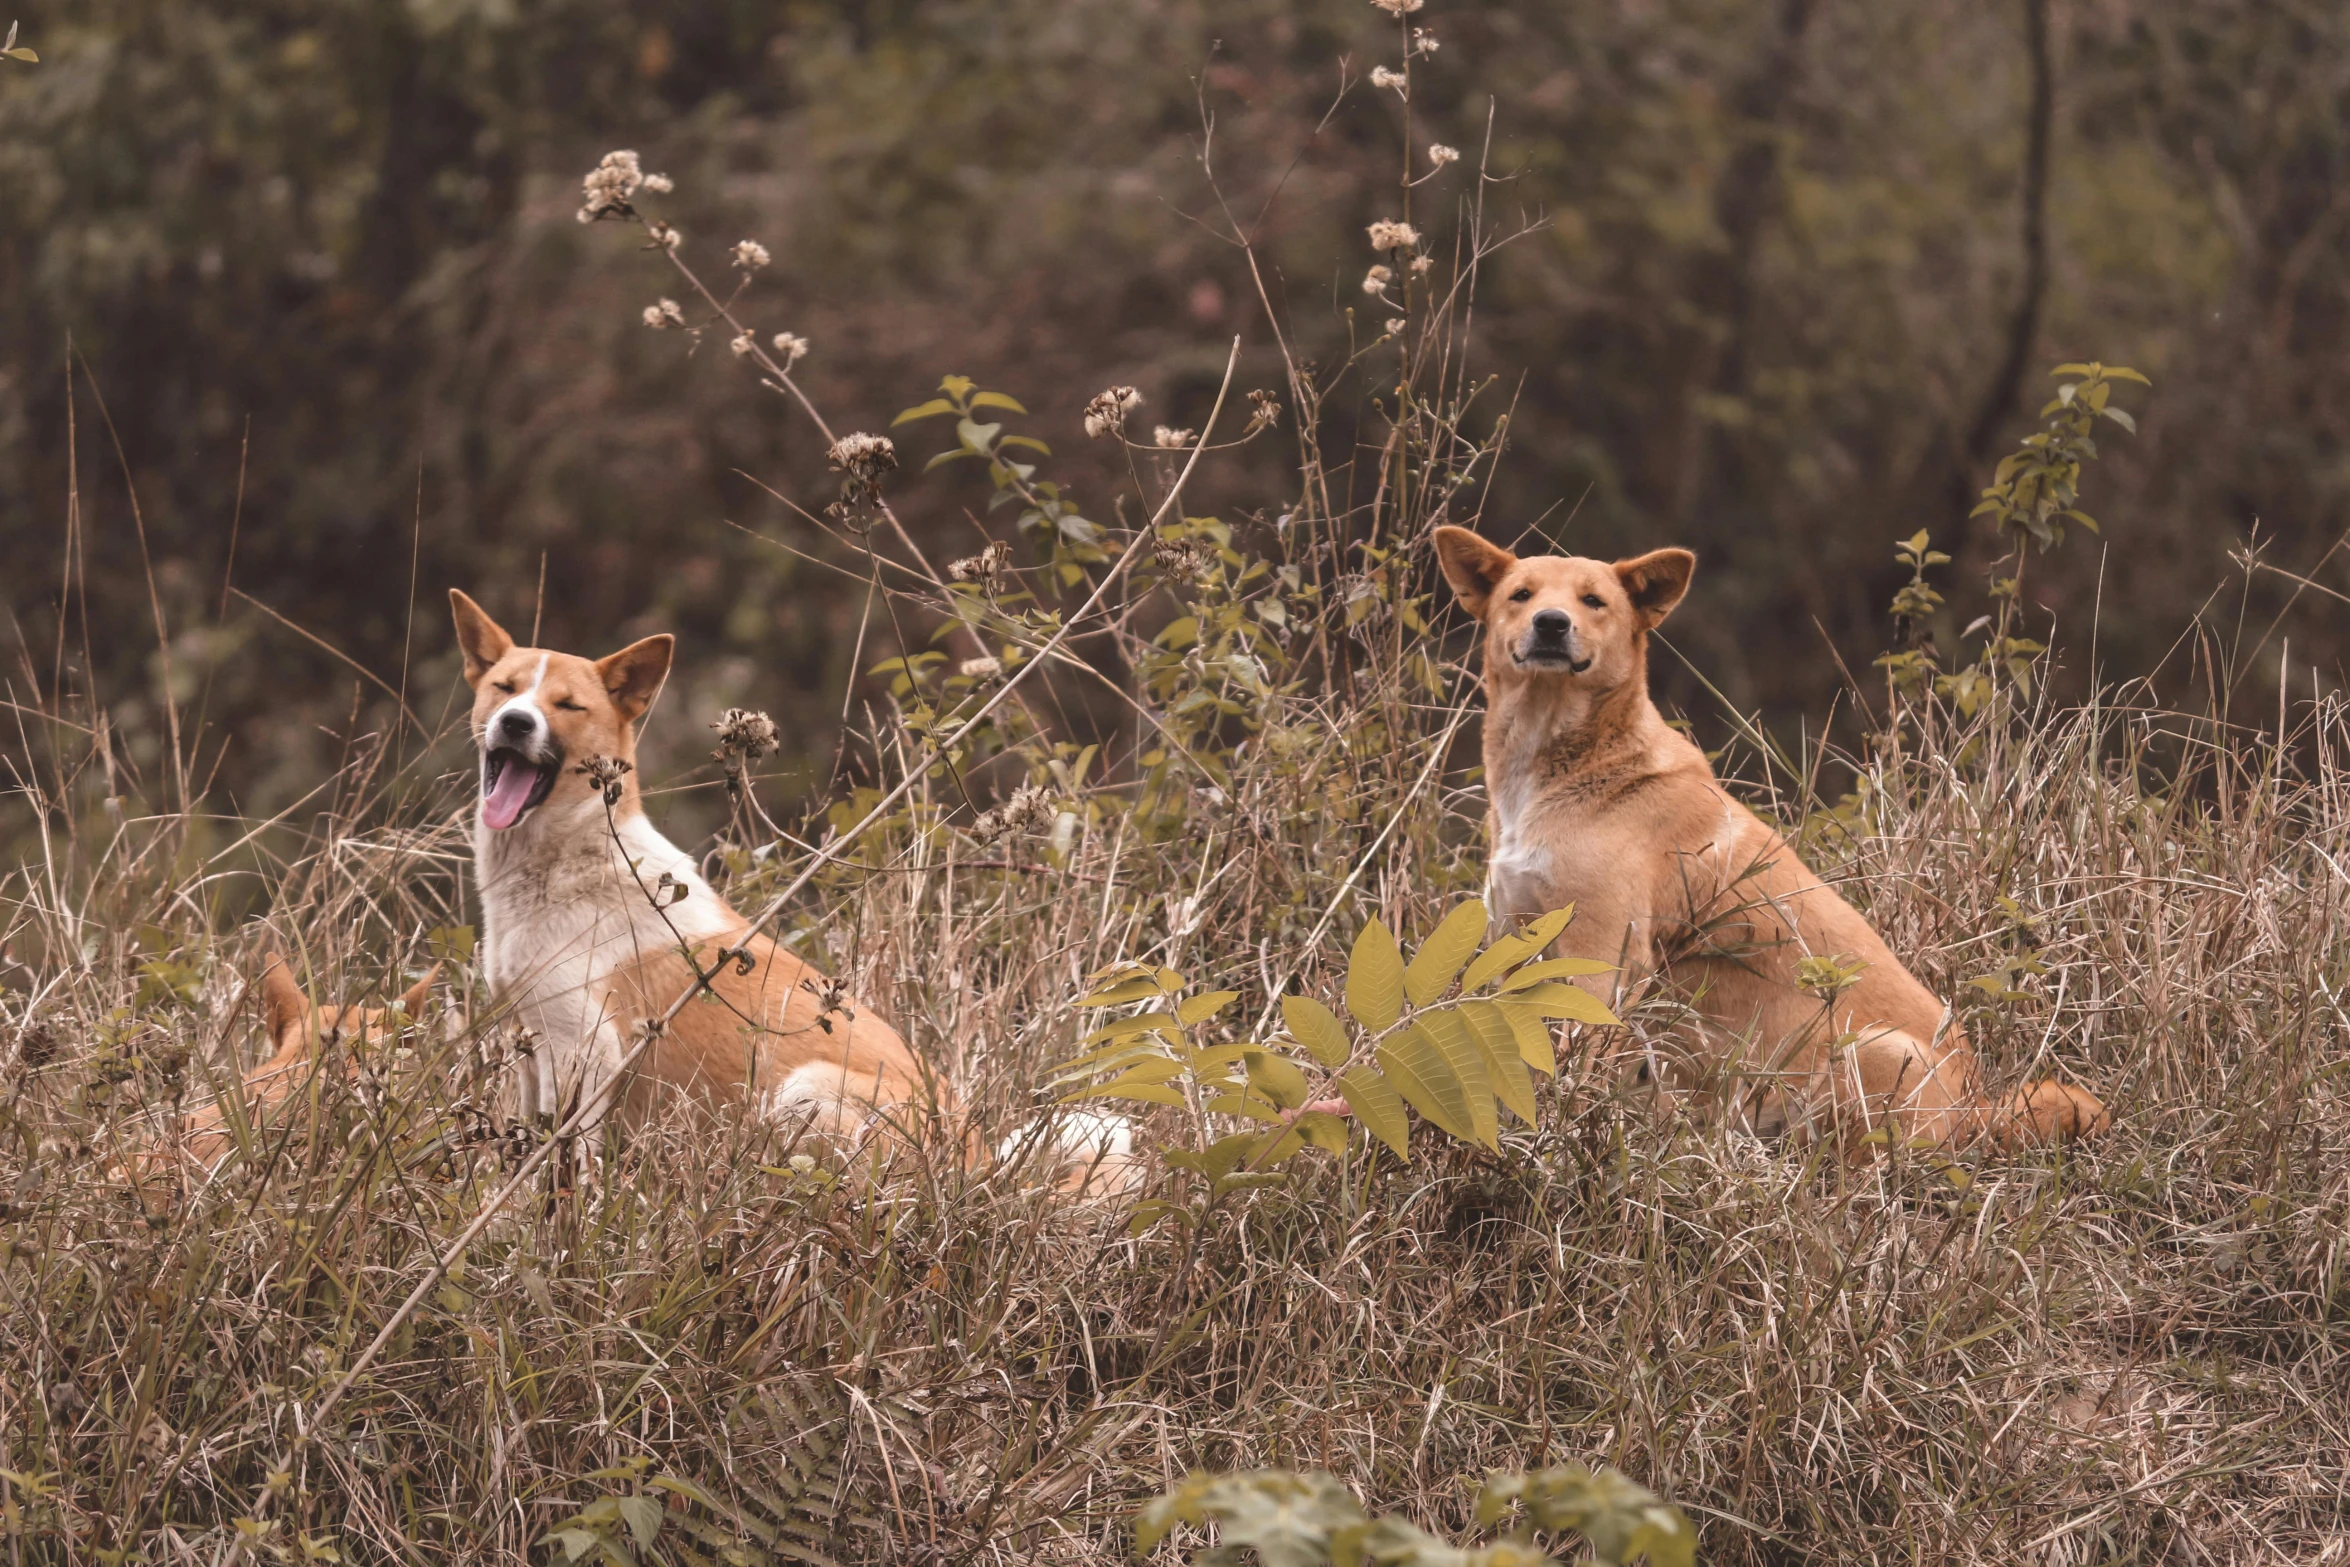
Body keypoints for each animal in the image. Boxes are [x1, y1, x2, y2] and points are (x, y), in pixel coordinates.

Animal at [1428, 526, 2115, 1151]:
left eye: (1593, 601)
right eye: (1520, 595)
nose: (1550, 623)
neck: (1557, 769)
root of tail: (1978, 1109)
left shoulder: (1602, 955)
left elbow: (1569, 1055)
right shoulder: (1513, 933)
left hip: (1869, 1053)